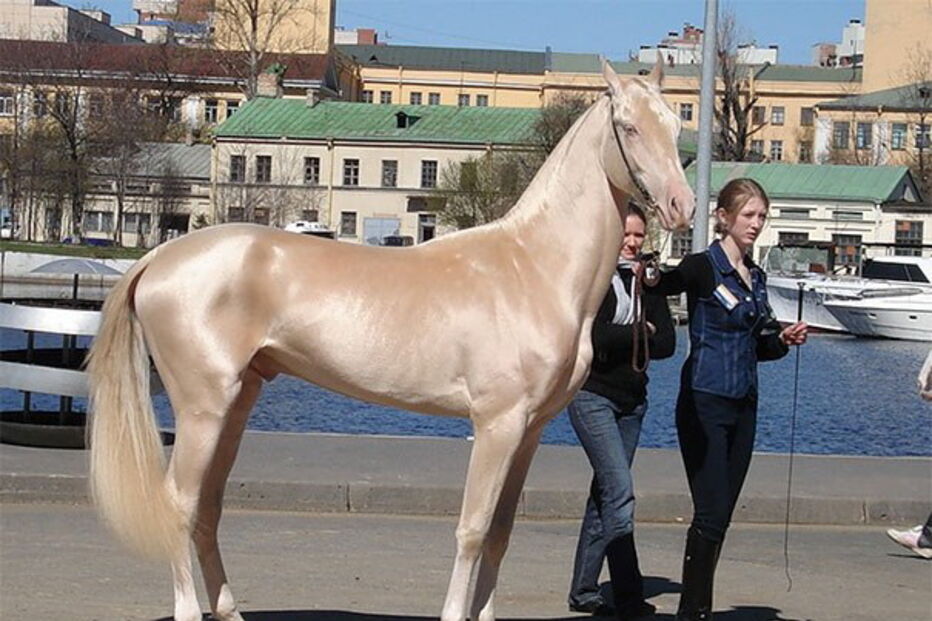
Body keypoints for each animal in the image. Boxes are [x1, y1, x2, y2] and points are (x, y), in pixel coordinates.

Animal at [86, 58, 694, 621]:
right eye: (628, 126)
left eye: (673, 122)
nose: (682, 206)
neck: (533, 267)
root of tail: (160, 257)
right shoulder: (497, 424)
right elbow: (473, 530)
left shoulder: (530, 431)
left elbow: (500, 533)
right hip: (202, 409)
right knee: (180, 504)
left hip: (235, 406)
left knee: (208, 508)